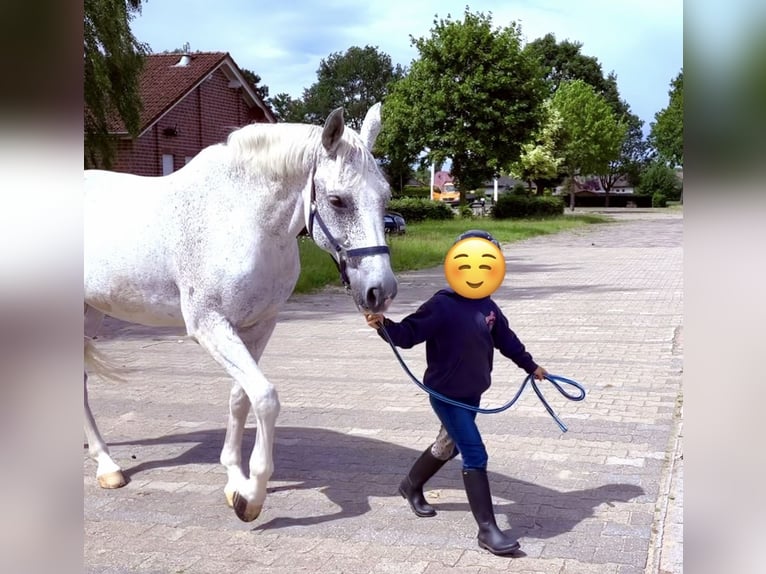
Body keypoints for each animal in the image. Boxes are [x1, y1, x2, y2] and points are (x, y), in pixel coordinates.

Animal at [83, 103, 398, 523]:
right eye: (336, 200)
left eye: (385, 196)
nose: (381, 291)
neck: (242, 219)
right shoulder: (209, 325)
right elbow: (264, 397)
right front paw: (252, 495)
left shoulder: (258, 325)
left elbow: (240, 397)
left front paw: (235, 478)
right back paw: (107, 465)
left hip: (91, 314)